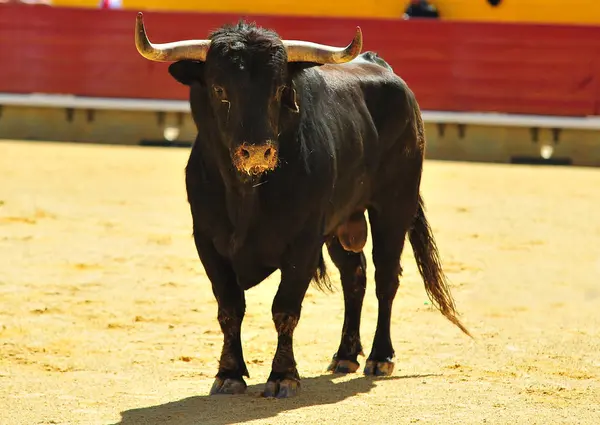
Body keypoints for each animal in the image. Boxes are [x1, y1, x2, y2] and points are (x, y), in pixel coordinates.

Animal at [134, 12, 472, 398]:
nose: (257, 152)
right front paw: (229, 374)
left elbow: (285, 308)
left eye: (280, 90)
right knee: (354, 277)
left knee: (386, 277)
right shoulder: (207, 241)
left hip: (394, 205)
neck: (245, 194)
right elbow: (230, 307)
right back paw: (345, 355)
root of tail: (380, 66)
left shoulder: (304, 242)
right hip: (343, 222)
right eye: (219, 90)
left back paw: (379, 357)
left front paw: (283, 376)